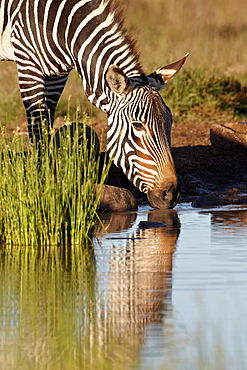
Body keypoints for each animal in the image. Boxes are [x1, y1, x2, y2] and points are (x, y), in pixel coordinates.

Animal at [0, 0, 188, 208]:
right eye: (138, 125)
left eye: (170, 122)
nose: (170, 195)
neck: (62, 26)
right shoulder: (28, 65)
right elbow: (38, 127)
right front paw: (41, 184)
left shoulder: (56, 74)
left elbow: (47, 122)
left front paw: (50, 180)